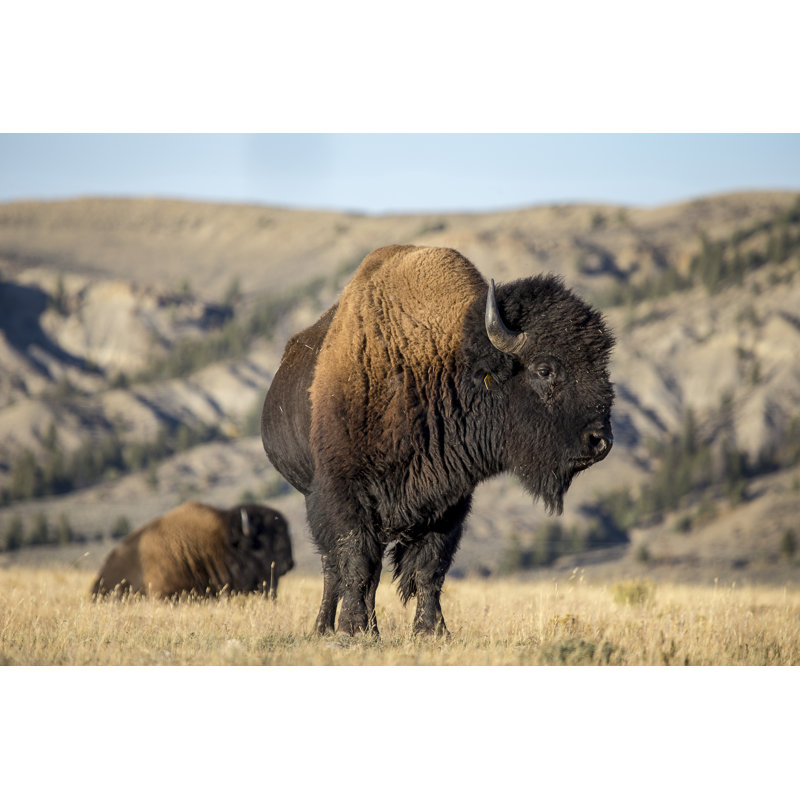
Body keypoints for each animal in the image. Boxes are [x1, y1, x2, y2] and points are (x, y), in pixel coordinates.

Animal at [261, 245, 614, 636]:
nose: (600, 441)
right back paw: (325, 626)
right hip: (316, 496)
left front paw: (431, 630)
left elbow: (430, 567)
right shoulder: (343, 492)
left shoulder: (450, 502)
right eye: (544, 369)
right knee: (333, 569)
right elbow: (355, 562)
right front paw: (351, 629)